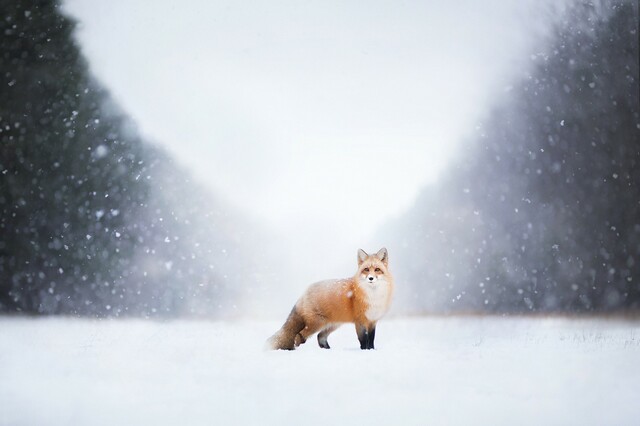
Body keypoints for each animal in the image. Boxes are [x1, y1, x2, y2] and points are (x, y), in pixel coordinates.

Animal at [264, 248, 392, 352]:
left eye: (377, 269)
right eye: (366, 269)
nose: (370, 278)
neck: (373, 296)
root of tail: (304, 293)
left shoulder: (372, 321)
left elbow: (371, 339)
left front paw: (372, 350)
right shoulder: (360, 321)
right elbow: (363, 340)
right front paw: (365, 351)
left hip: (332, 324)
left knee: (320, 337)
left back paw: (328, 350)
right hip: (317, 323)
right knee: (300, 335)